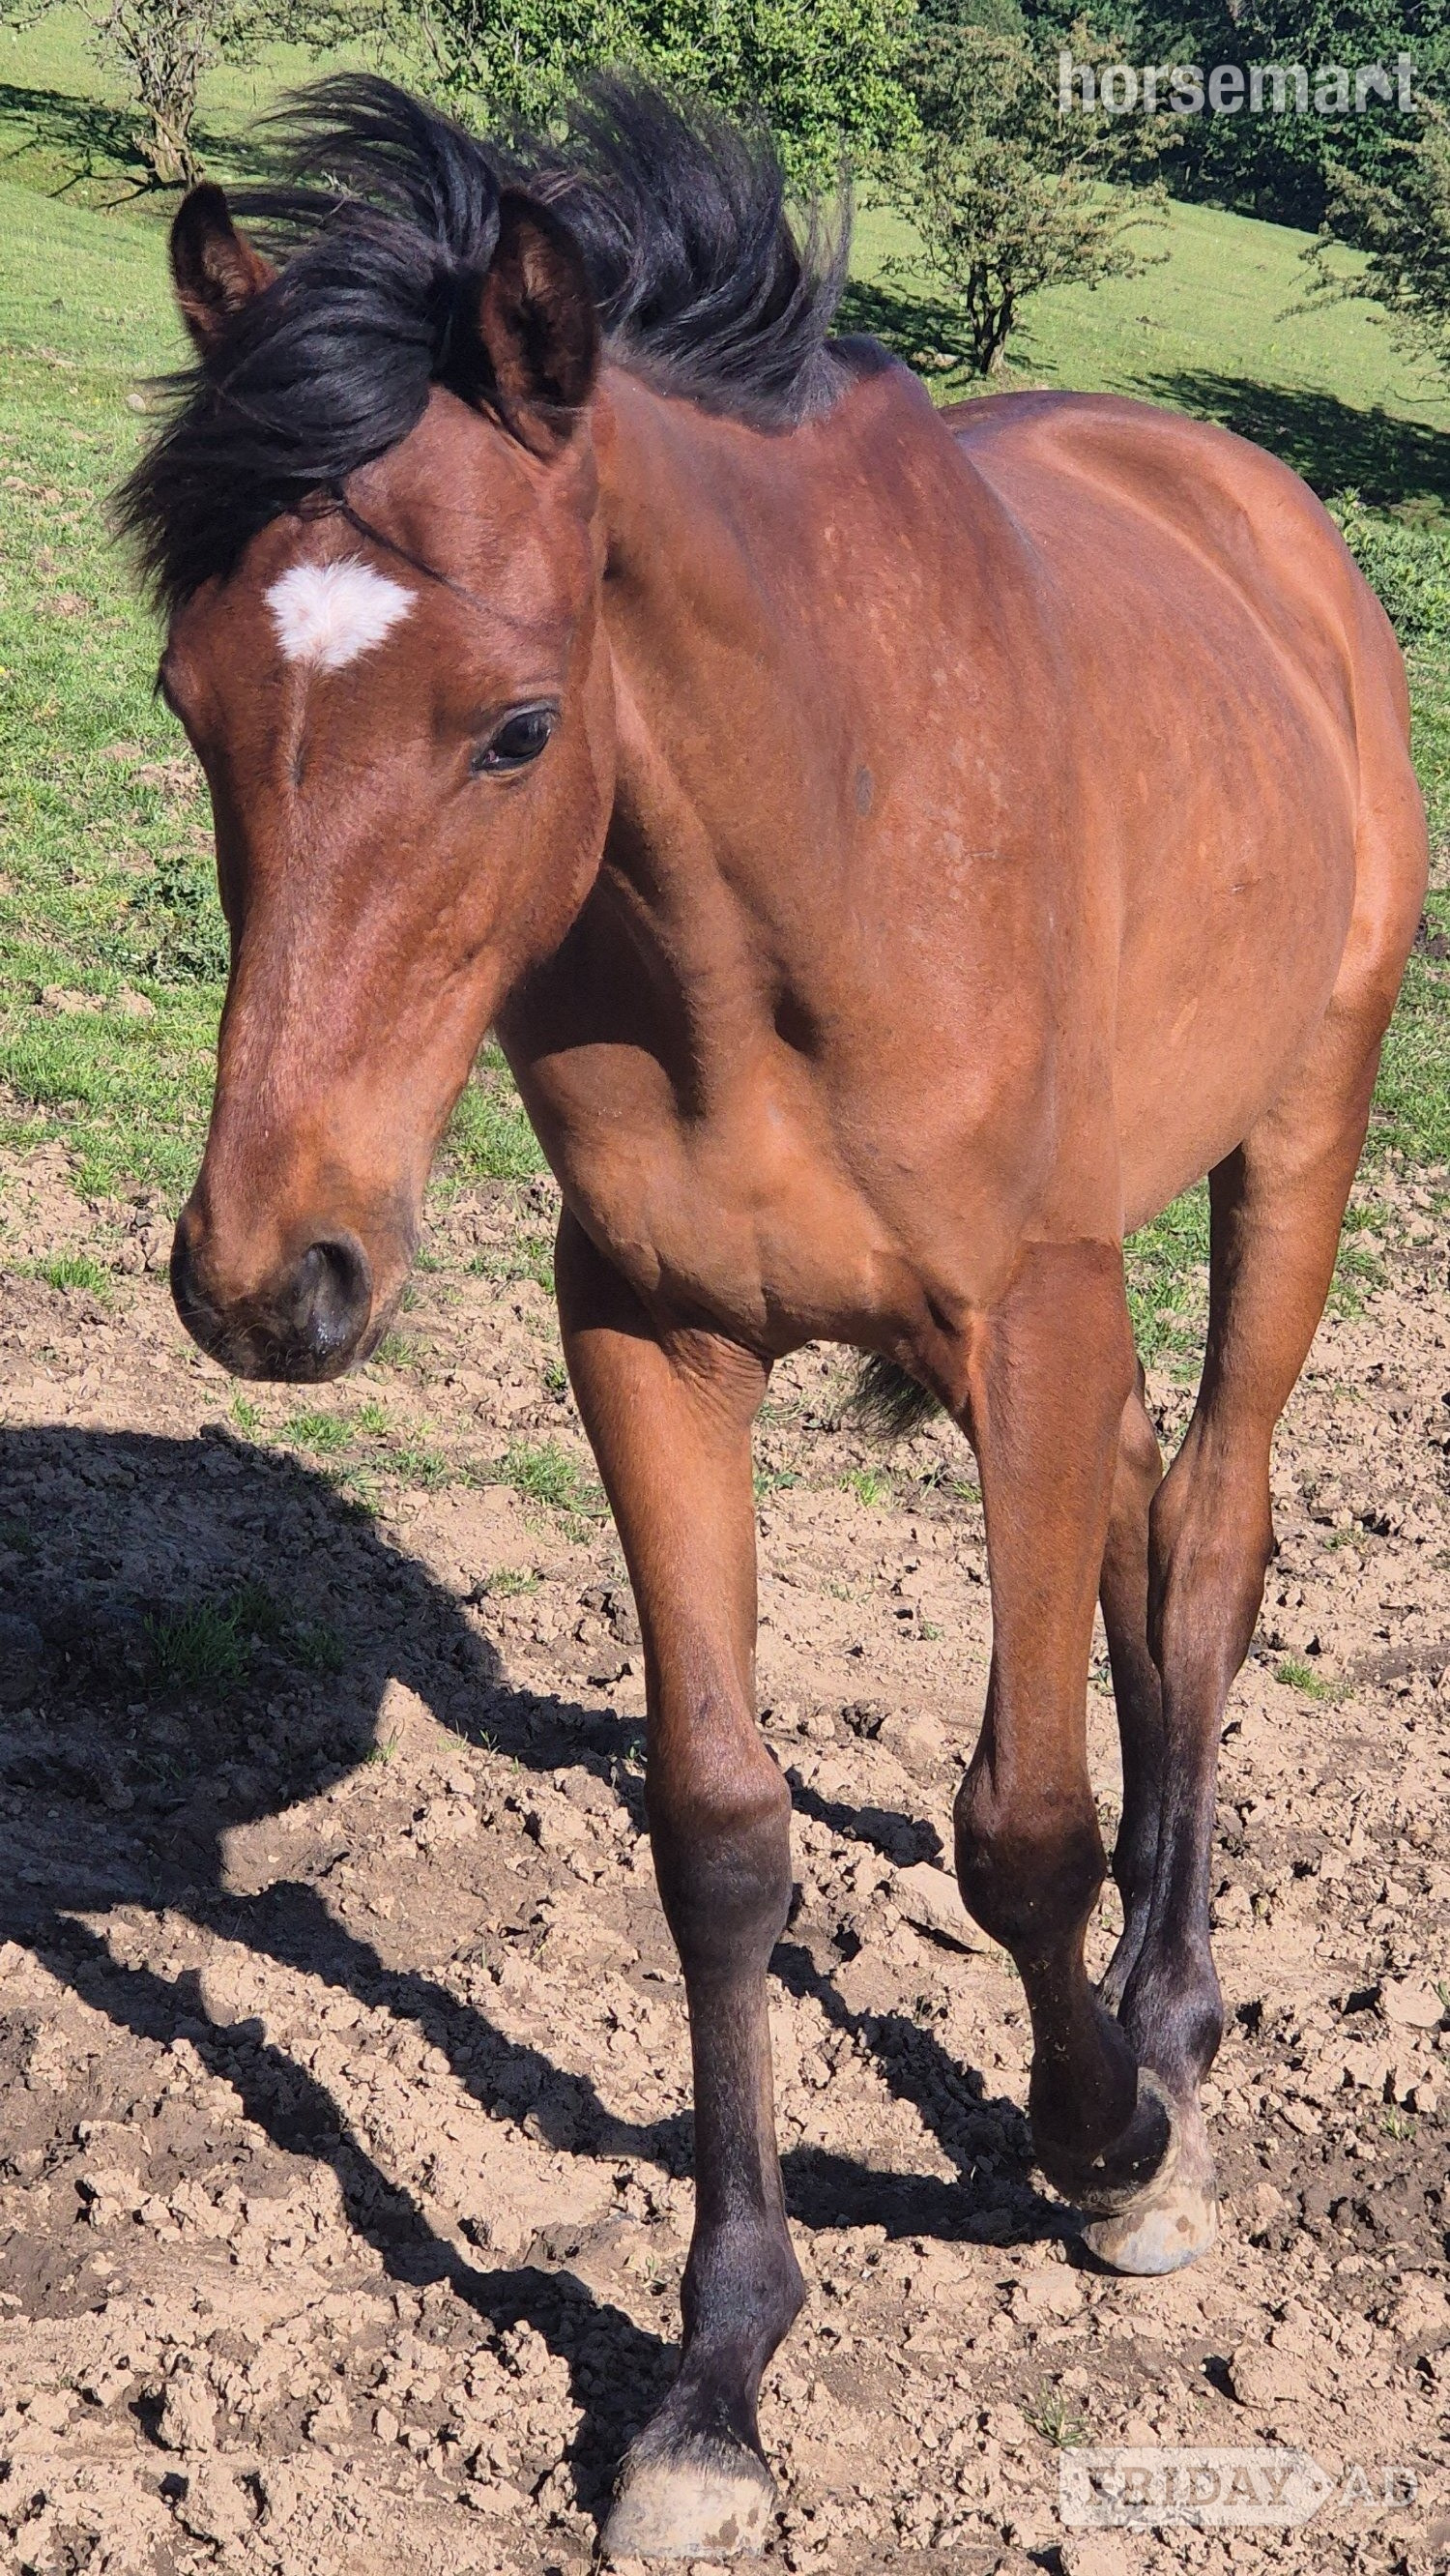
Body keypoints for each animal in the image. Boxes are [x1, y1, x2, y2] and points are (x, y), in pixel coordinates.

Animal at [118, 75, 1427, 2559]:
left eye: (516, 725)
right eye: (192, 699)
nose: (267, 1275)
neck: (795, 865)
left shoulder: (1031, 1319)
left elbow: (1020, 1823)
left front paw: (1108, 2144)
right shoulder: (646, 1330)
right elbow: (718, 1835)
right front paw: (715, 2374)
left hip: (1290, 1143)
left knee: (1209, 1543)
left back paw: (1172, 2026)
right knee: (1142, 1546)